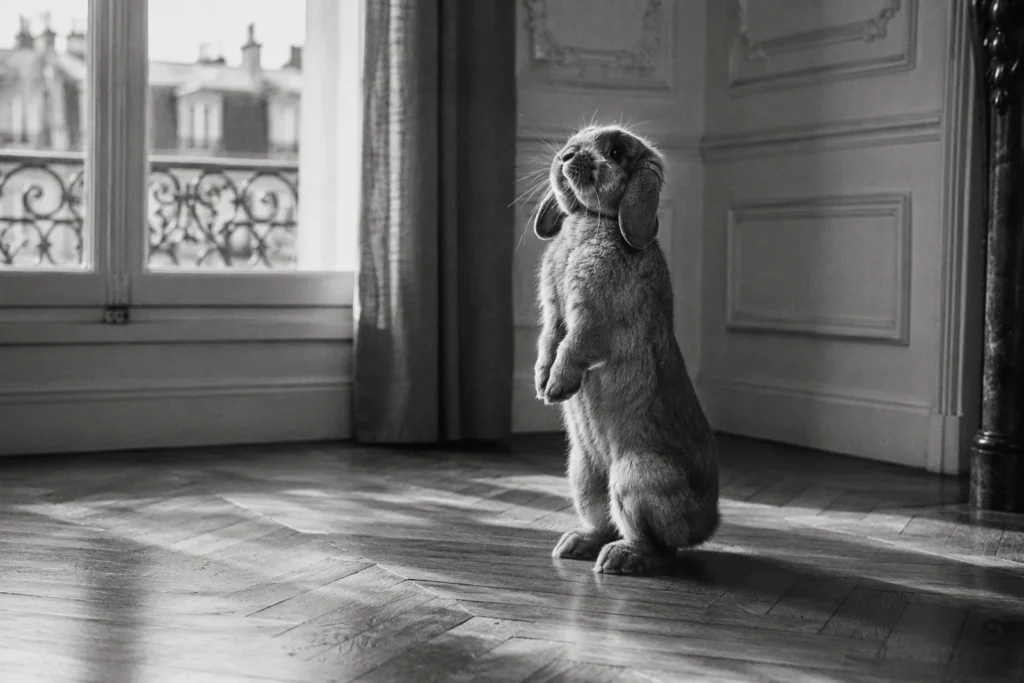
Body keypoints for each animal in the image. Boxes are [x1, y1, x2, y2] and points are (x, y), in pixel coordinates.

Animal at [531, 124, 720, 575]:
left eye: (616, 152)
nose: (565, 156)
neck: (591, 219)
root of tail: (707, 523)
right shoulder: (553, 311)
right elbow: (549, 339)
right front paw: (542, 384)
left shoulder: (593, 316)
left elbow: (576, 345)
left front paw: (558, 387)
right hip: (584, 475)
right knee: (604, 523)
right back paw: (574, 544)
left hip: (635, 478)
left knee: (659, 547)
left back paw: (619, 559)